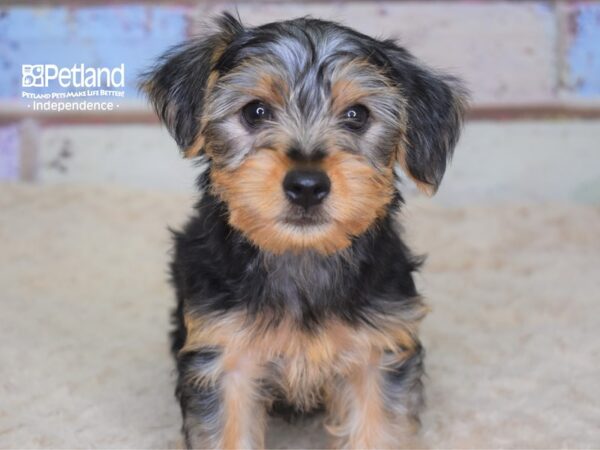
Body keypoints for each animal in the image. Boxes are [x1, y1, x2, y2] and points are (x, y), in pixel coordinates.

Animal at [143, 12, 466, 448]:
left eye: (357, 115)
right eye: (255, 111)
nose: (307, 185)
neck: (301, 254)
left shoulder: (377, 349)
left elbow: (377, 425)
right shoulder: (226, 354)